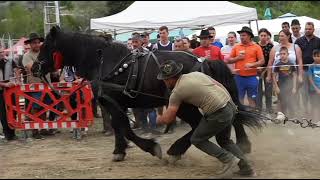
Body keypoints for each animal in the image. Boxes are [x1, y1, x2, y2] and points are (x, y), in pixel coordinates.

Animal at [31, 26, 264, 162]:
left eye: (45, 45)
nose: (34, 68)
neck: (102, 60)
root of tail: (203, 61)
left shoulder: (111, 101)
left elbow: (125, 128)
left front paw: (150, 147)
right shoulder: (115, 103)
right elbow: (119, 127)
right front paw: (119, 150)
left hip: (183, 104)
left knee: (199, 124)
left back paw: (176, 150)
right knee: (230, 116)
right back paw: (242, 143)